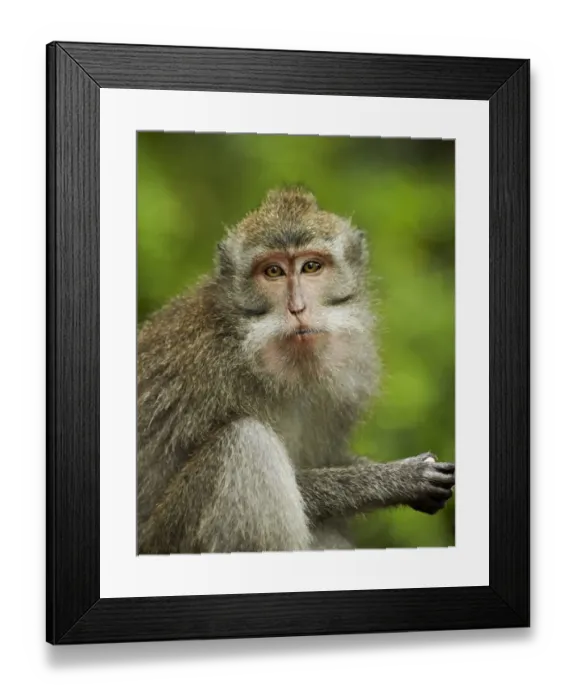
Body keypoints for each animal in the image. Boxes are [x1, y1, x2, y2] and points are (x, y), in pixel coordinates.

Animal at [136, 186, 455, 554]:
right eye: (273, 272)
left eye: (311, 266)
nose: (298, 308)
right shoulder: (213, 374)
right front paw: (396, 479)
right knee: (247, 443)